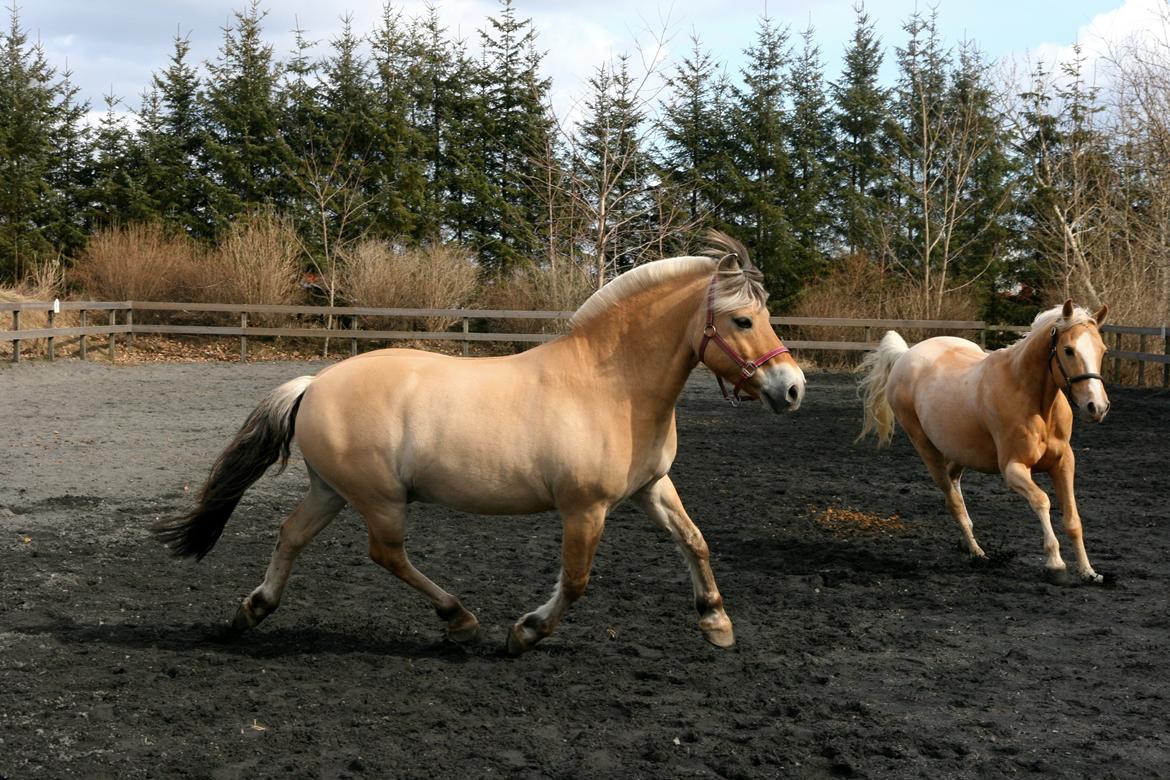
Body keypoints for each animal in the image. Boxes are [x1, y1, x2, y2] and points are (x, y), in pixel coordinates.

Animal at [155, 235, 809, 654]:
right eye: (743, 321)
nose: (793, 388)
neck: (611, 385)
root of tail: (314, 384)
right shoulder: (585, 508)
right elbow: (576, 579)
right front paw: (524, 633)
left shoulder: (651, 487)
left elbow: (694, 542)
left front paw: (717, 624)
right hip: (379, 499)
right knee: (386, 554)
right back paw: (461, 620)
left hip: (331, 492)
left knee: (291, 535)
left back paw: (250, 612)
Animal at [861, 301, 1113, 582]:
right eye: (1068, 350)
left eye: (1102, 350)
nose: (1097, 407)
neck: (1034, 401)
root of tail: (905, 355)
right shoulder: (1013, 468)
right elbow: (1042, 501)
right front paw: (1056, 564)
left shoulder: (1064, 463)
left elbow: (1073, 518)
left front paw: (1089, 572)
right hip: (925, 447)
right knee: (952, 500)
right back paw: (977, 552)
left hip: (961, 451)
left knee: (954, 482)